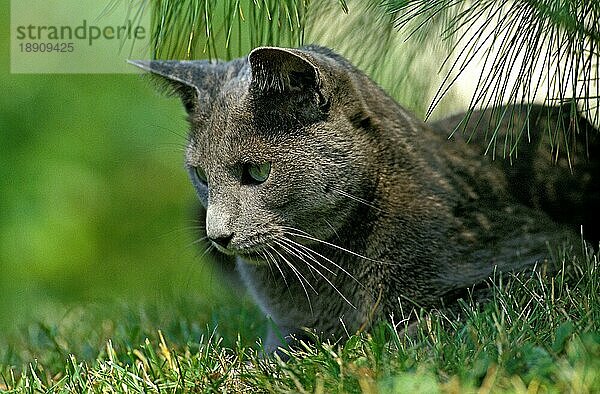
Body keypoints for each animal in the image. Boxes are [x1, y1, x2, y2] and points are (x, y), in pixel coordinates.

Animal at [131, 44, 600, 352]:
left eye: (257, 173)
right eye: (201, 175)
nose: (217, 234)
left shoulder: (545, 260)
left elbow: (446, 314)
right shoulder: (282, 331)